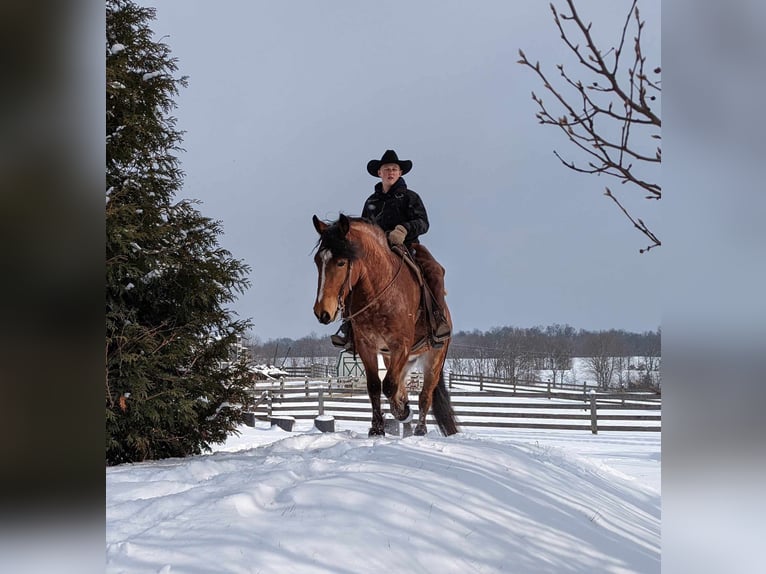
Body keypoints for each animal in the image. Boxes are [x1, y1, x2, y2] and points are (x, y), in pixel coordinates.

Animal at [314, 214, 462, 438]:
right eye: (317, 261)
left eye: (341, 262)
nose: (322, 312)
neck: (379, 291)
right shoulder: (367, 346)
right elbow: (376, 386)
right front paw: (377, 428)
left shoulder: (401, 345)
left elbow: (389, 386)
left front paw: (402, 412)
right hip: (396, 359)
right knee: (401, 384)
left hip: (433, 359)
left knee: (425, 395)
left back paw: (419, 428)